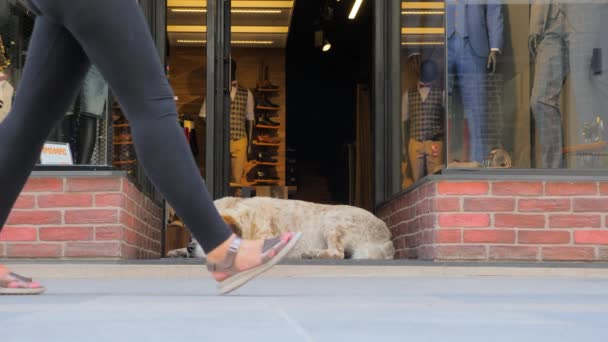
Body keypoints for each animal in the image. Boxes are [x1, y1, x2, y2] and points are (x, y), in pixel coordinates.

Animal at [171, 196, 396, 260]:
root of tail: (386, 238)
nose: (190, 246)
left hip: (332, 221)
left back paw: (313, 253)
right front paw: (178, 250)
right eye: (190, 236)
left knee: (338, 253)